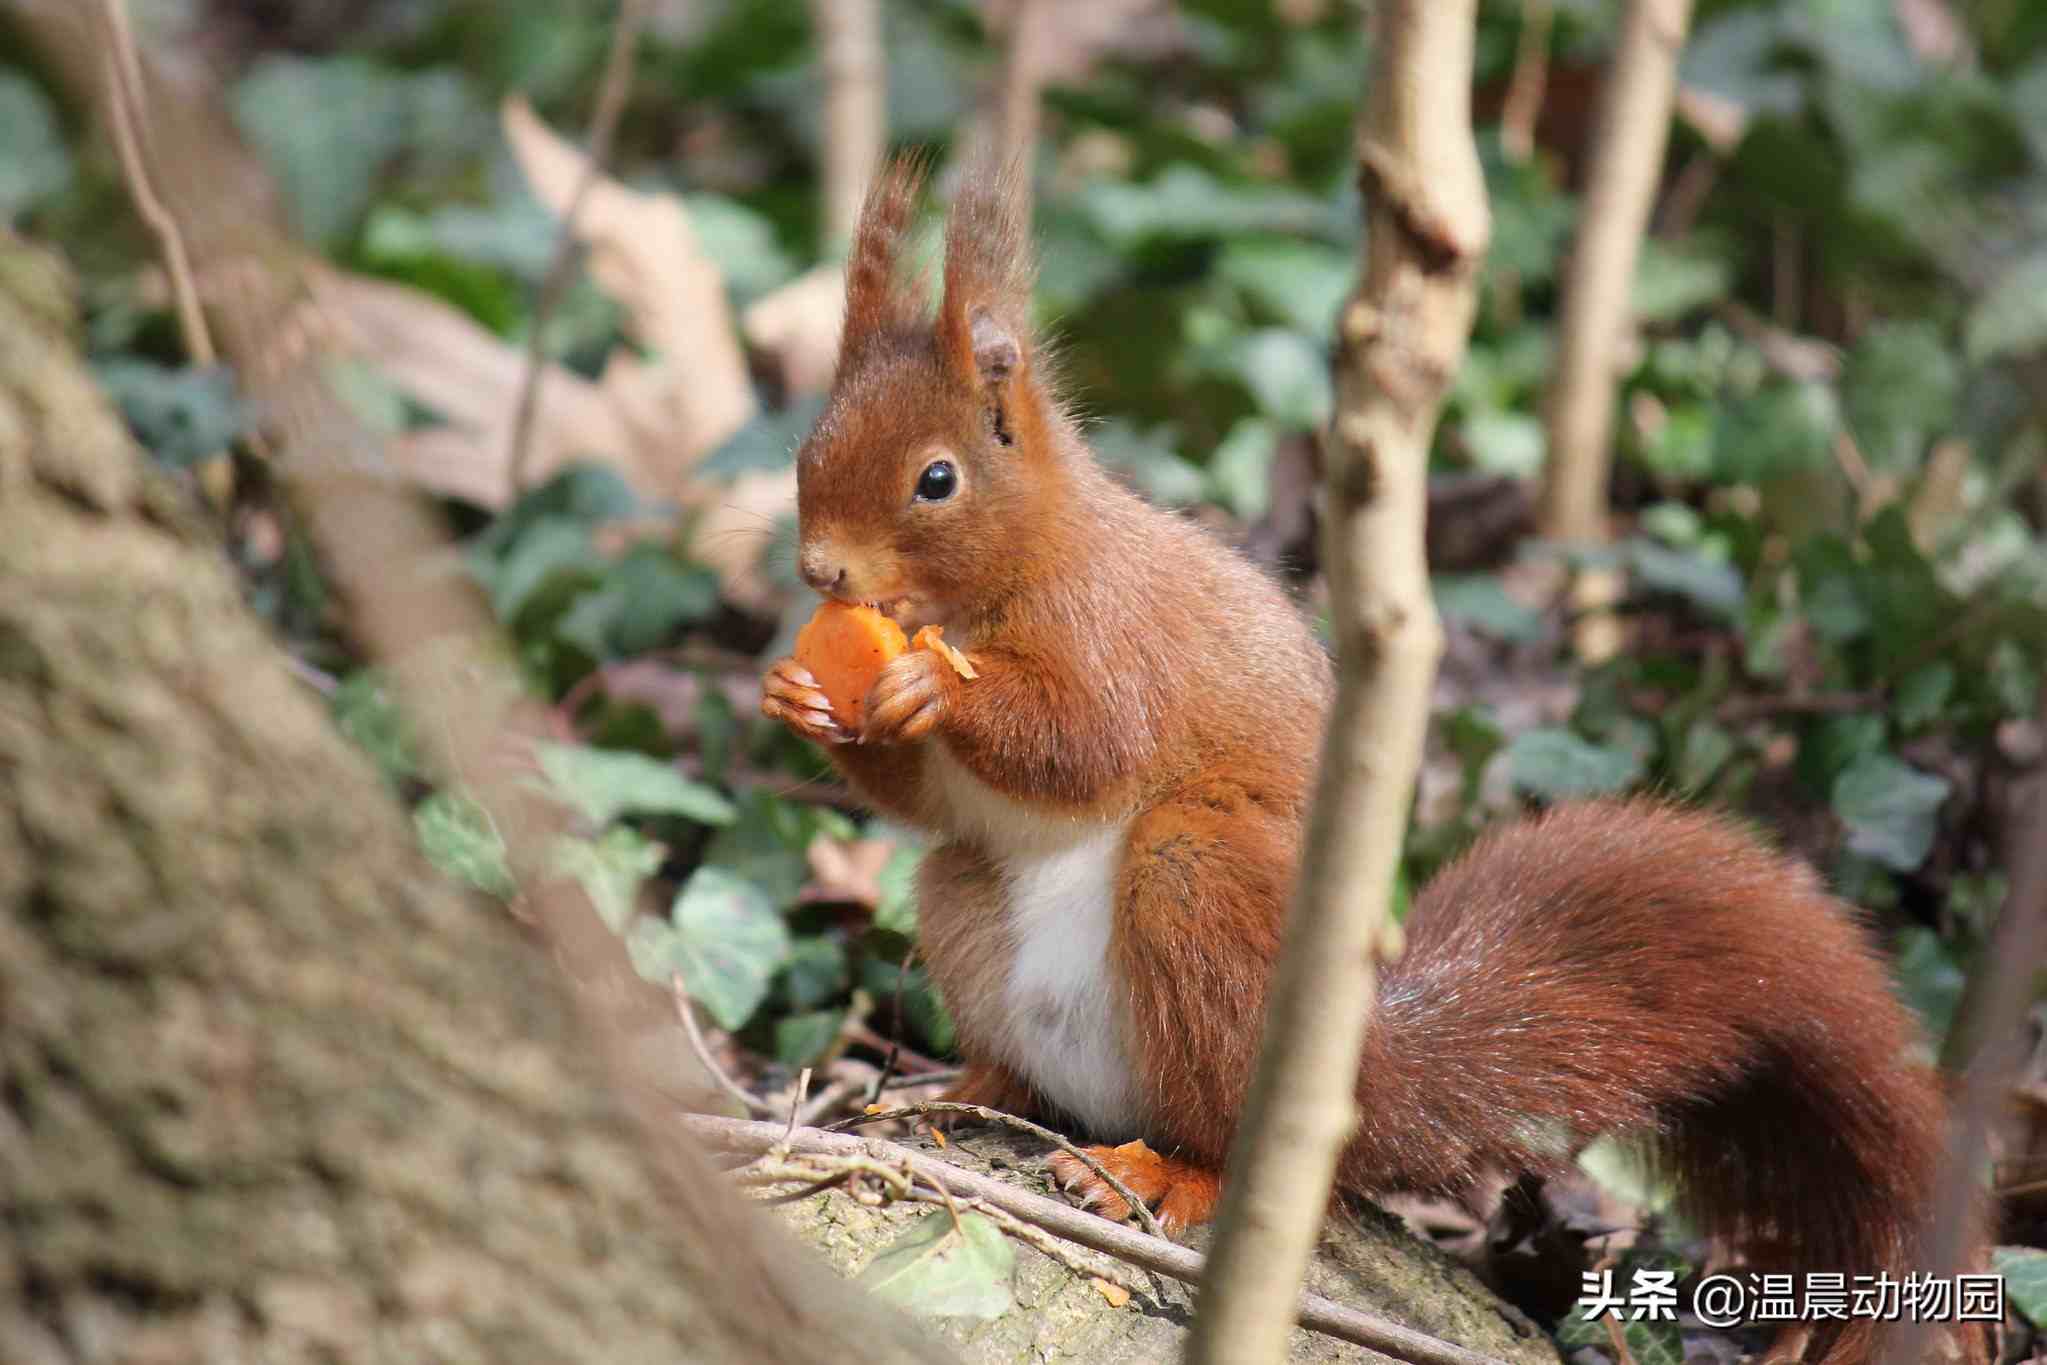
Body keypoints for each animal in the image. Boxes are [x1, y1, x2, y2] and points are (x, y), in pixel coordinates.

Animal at [761, 162, 1973, 1365]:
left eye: (936, 480)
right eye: (806, 448)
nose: (820, 572)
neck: (990, 585)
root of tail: (1361, 1082)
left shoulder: (1112, 632)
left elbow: (1083, 738)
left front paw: (932, 692)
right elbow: (924, 797)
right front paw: (801, 699)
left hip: (1202, 884)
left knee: (1216, 1114)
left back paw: (1159, 1172)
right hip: (963, 899)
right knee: (995, 984)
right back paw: (952, 1092)